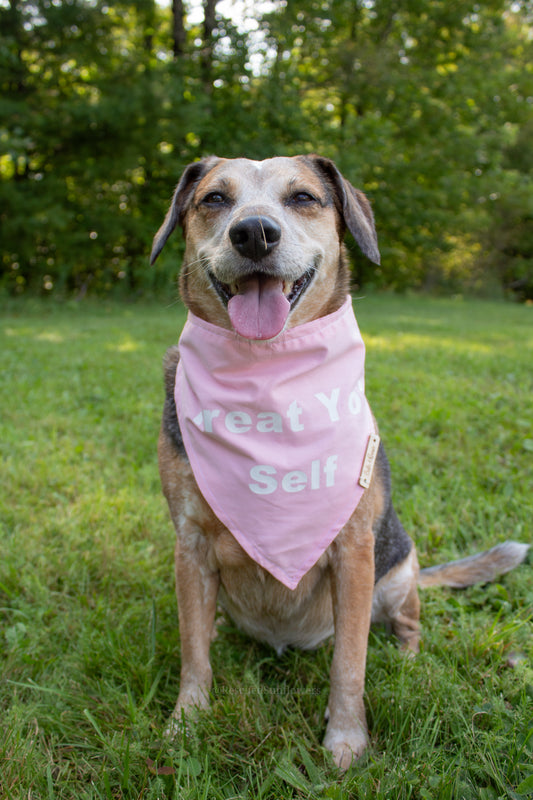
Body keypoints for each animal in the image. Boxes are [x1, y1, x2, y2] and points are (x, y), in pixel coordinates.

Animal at [150, 155, 528, 768]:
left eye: (303, 197)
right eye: (214, 200)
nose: (254, 233)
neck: (266, 374)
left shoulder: (353, 553)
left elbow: (349, 663)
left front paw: (346, 741)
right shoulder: (190, 545)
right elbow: (192, 653)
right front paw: (186, 723)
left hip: (397, 570)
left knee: (407, 627)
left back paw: (407, 663)